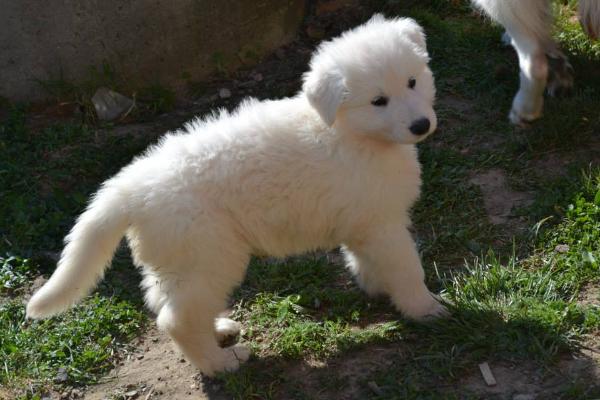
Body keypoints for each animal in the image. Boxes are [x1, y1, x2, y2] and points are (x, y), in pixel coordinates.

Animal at [27, 14, 446, 376]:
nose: (421, 125)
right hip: (209, 254)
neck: (350, 132)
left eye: (412, 81)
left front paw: (378, 287)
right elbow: (408, 267)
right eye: (378, 101)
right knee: (177, 318)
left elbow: (367, 261)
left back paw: (218, 332)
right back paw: (221, 363)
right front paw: (426, 308)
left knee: (165, 302)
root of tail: (133, 187)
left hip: (177, 261)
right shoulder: (382, 223)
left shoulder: (363, 220)